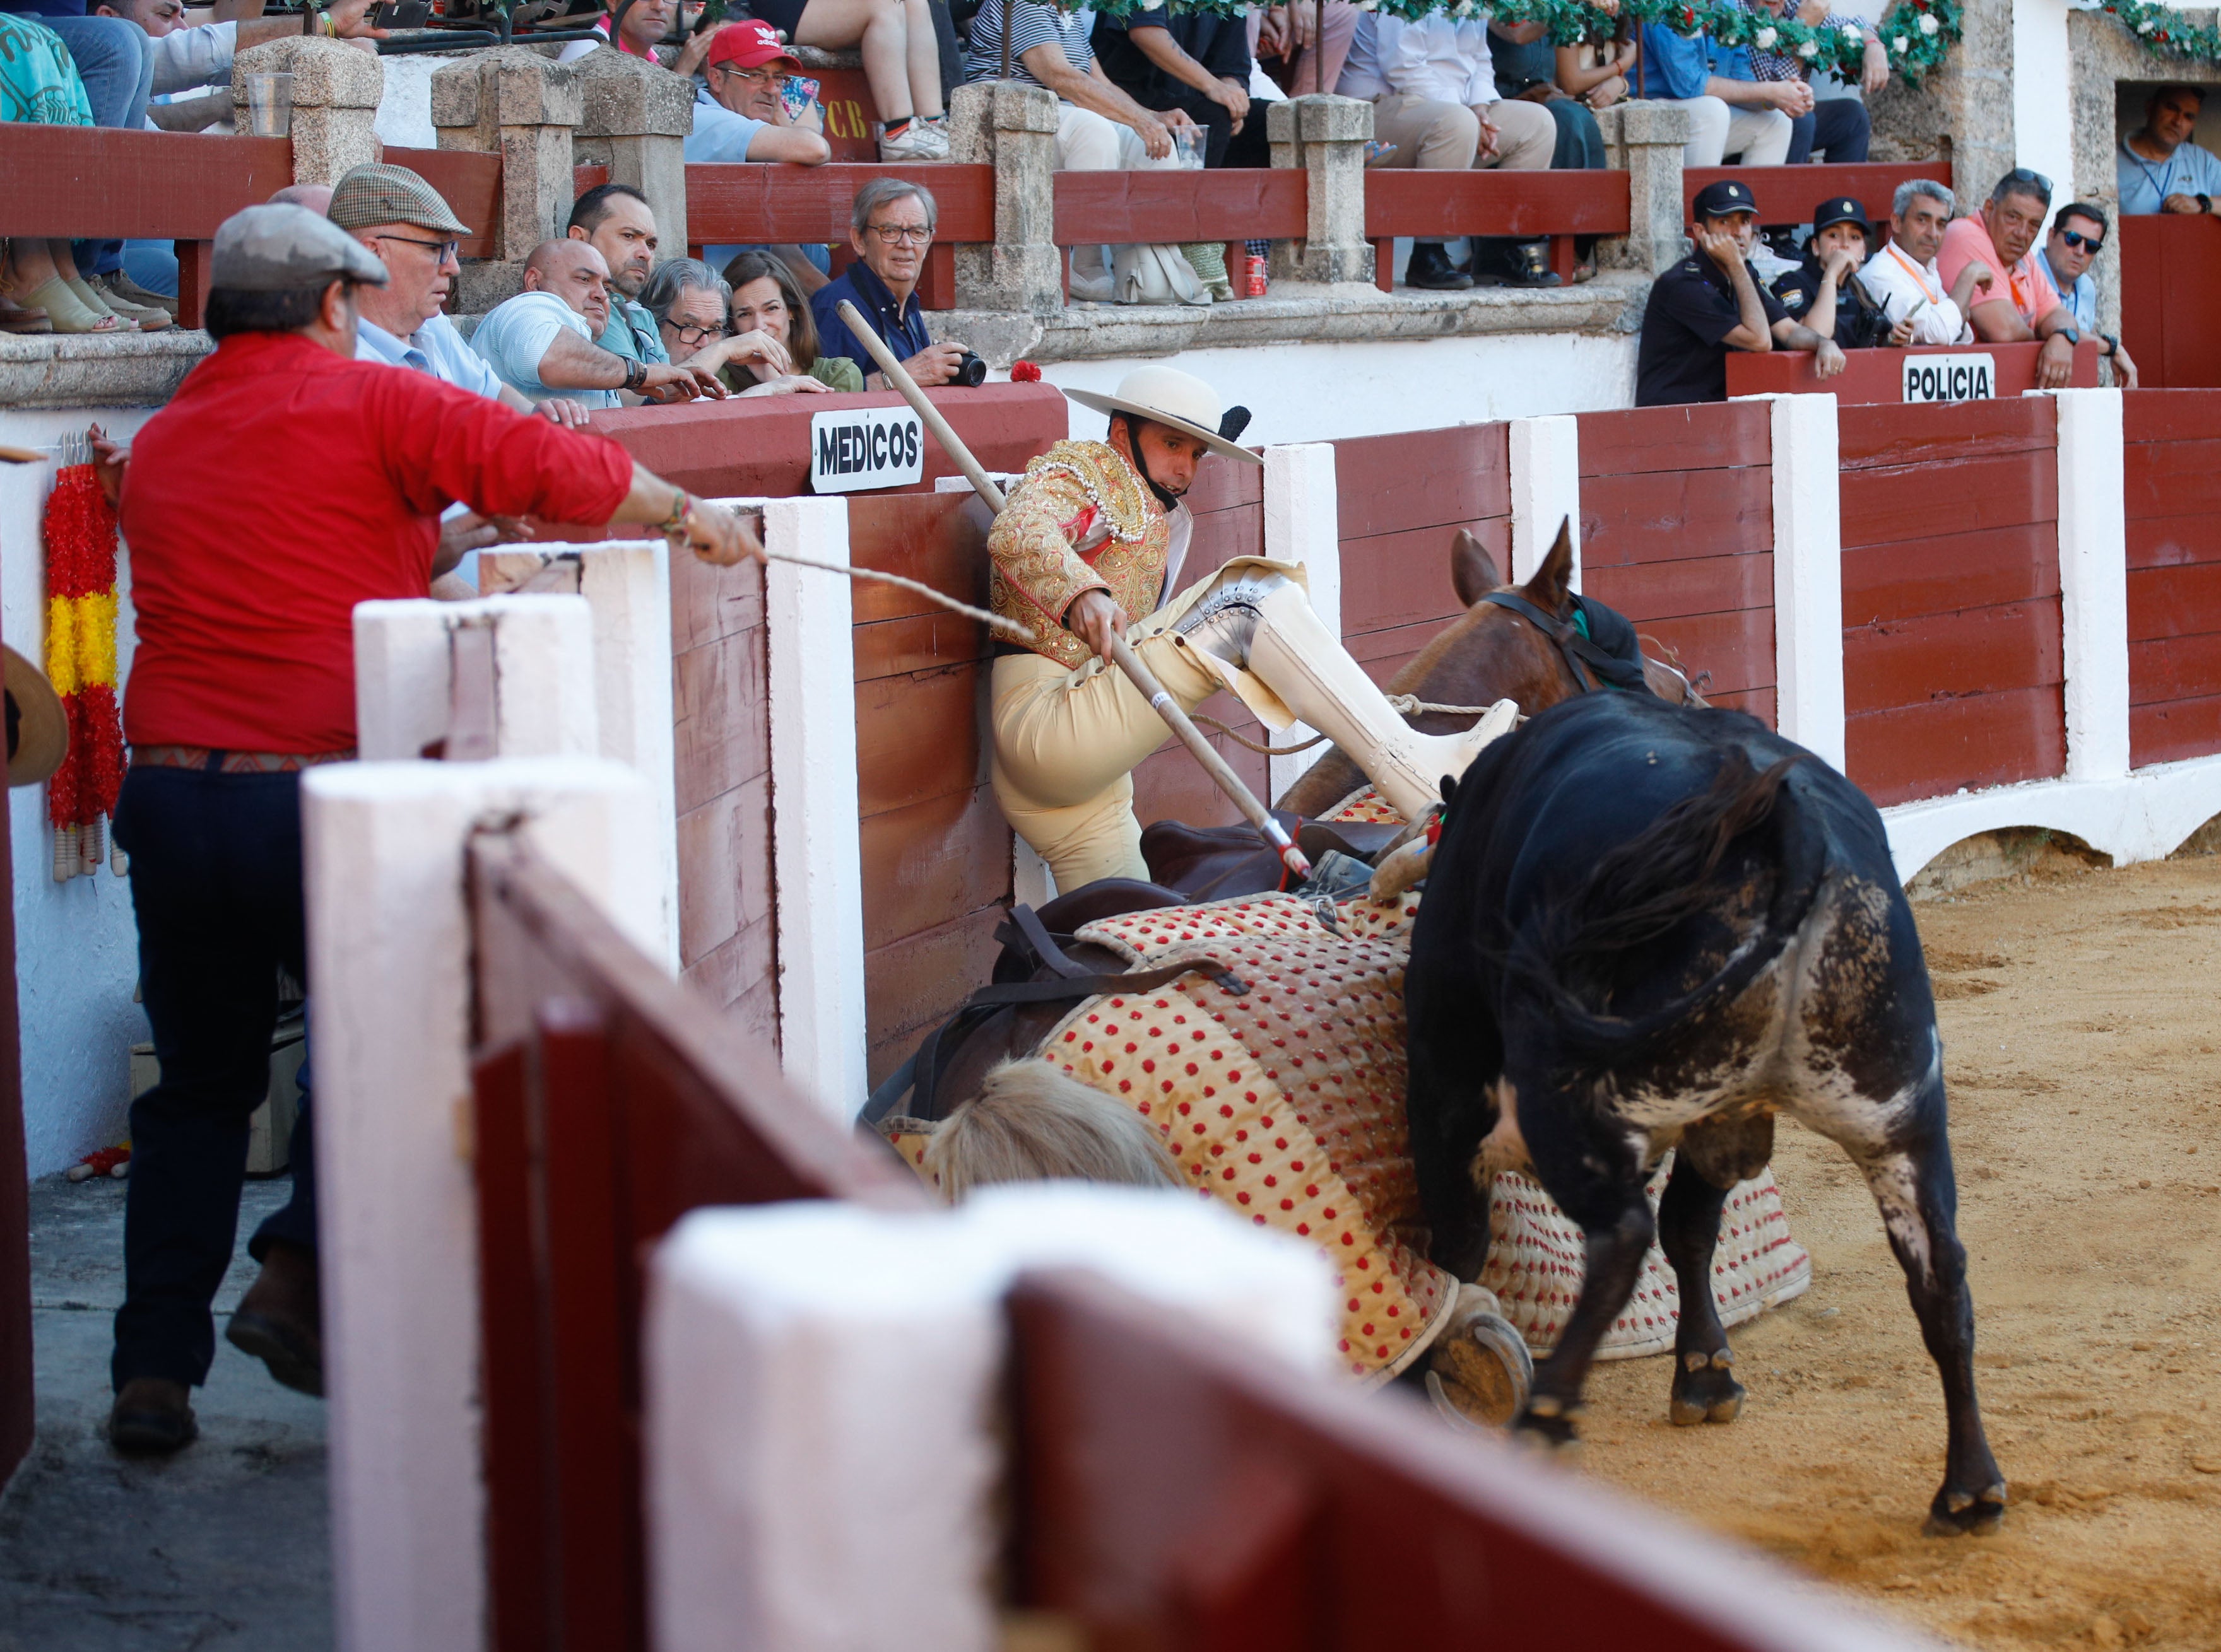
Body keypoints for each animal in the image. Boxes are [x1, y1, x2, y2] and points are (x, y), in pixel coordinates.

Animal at [1412, 688, 2008, 1536]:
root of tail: (1786, 818)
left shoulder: (1444, 1099)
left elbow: (1456, 1255)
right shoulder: (1715, 1121)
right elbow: (1692, 1229)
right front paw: (1705, 1376)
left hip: (1567, 1099)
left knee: (1620, 1234)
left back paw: (1547, 1419)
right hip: (1900, 1117)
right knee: (1941, 1276)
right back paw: (1968, 1489)